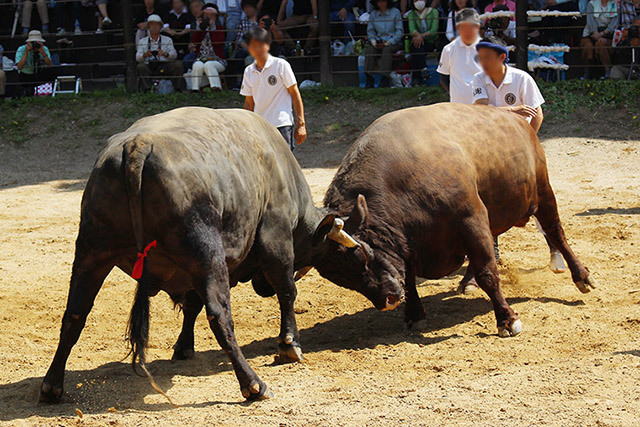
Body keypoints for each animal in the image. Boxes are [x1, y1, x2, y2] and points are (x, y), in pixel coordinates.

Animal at [310, 103, 596, 338]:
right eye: (338, 276)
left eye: (362, 255)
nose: (387, 300)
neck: (399, 182)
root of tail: (518, 119)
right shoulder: (409, 242)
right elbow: (411, 279)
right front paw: (414, 314)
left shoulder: (471, 219)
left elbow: (488, 273)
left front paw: (507, 319)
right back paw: (467, 282)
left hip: (543, 194)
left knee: (555, 233)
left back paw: (581, 276)